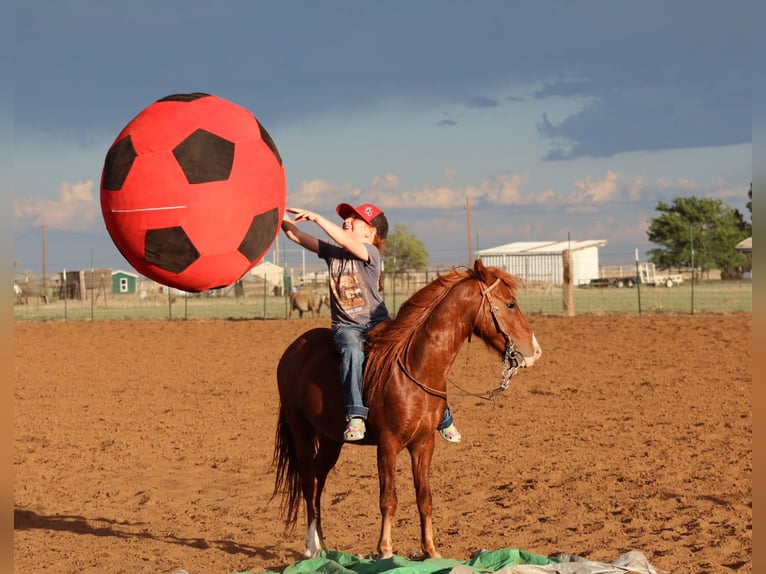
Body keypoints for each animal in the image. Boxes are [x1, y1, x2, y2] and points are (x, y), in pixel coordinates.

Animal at [273, 259, 542, 559]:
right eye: (510, 304)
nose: (535, 351)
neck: (415, 367)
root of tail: (294, 349)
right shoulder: (387, 445)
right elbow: (388, 498)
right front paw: (385, 550)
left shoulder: (423, 444)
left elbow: (424, 497)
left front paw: (430, 550)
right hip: (302, 431)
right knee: (309, 481)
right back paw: (311, 547)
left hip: (331, 439)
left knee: (319, 481)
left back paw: (323, 546)